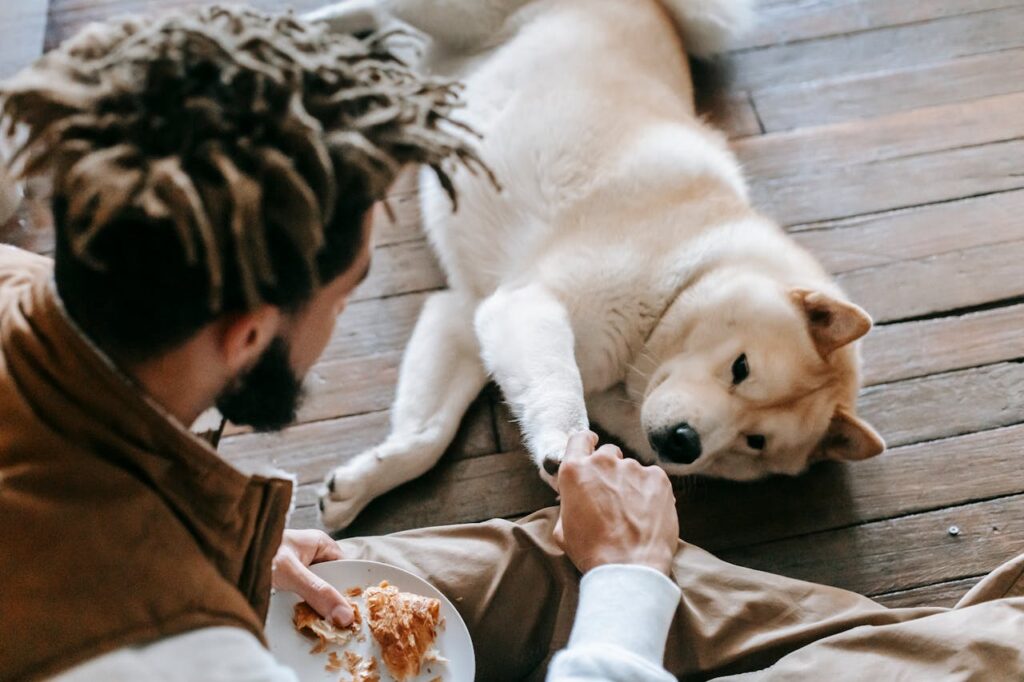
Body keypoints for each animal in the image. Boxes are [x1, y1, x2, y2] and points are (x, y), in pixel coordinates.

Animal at [315, 0, 884, 532]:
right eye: (740, 368)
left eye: (755, 441)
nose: (684, 443)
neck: (680, 280)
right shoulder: (527, 304)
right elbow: (559, 390)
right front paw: (565, 448)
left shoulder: (469, 314)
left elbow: (427, 433)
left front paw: (361, 484)